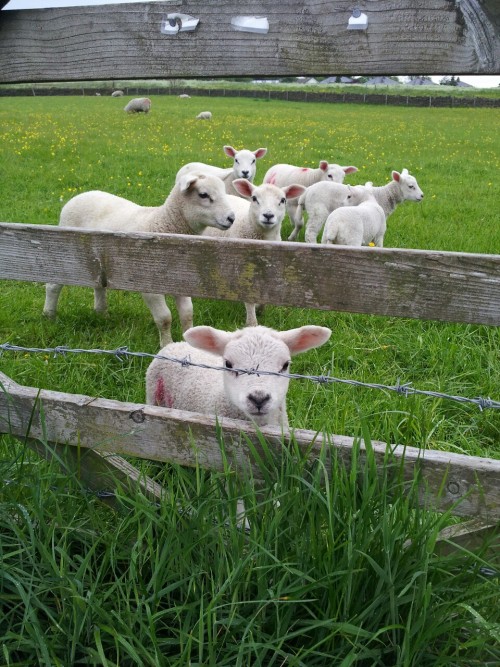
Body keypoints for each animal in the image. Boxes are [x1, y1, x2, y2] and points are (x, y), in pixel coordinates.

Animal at [42, 172, 236, 348]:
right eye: (203, 194)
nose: (231, 218)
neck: (162, 225)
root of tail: (79, 195)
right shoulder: (149, 287)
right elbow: (164, 318)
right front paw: (166, 346)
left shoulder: (180, 281)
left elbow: (187, 314)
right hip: (65, 253)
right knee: (53, 285)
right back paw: (49, 316)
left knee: (99, 285)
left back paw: (101, 314)